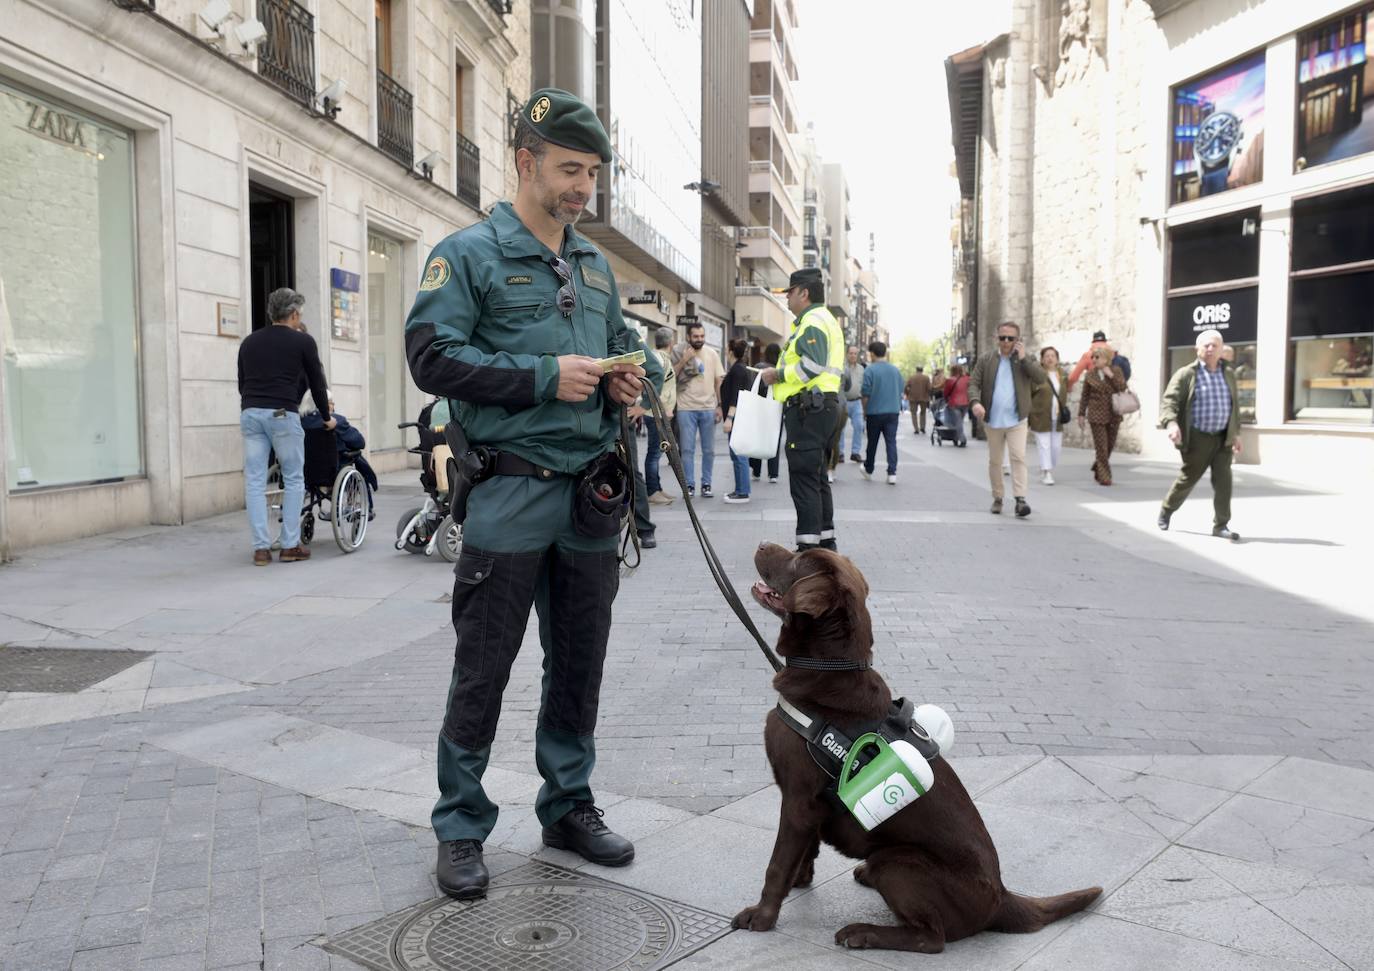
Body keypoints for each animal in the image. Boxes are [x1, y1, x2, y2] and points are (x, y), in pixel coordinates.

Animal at [730, 543, 1104, 955]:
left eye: (798, 560)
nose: (762, 544)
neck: (828, 668)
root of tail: (1002, 898)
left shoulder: (797, 800)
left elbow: (776, 864)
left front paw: (762, 917)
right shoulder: (810, 807)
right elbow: (805, 849)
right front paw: (801, 879)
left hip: (897, 860)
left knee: (932, 938)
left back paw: (862, 932)